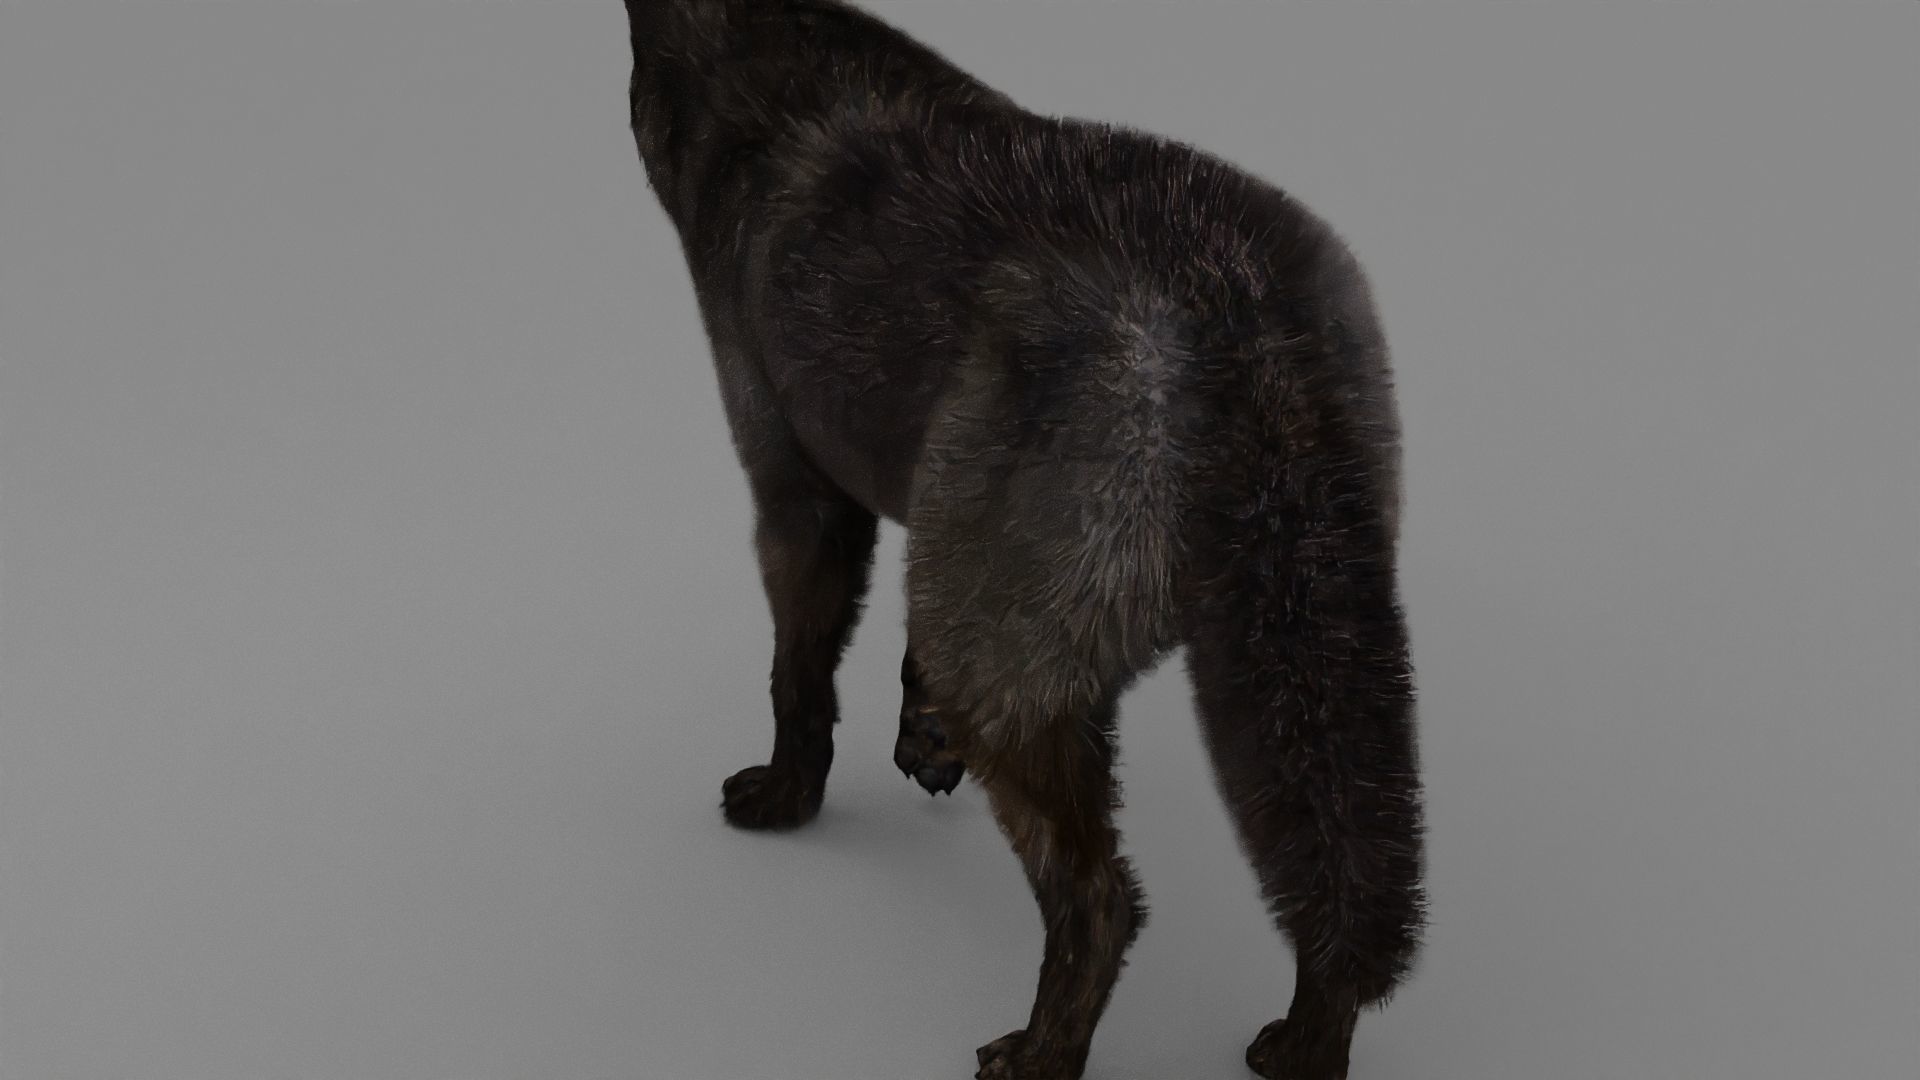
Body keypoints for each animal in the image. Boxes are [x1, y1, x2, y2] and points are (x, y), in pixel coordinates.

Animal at [624, 2, 1425, 1076]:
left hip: (1019, 676)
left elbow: (800, 672)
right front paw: (922, 743)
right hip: (1305, 655)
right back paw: (1303, 1044)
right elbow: (899, 651)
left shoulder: (797, 490)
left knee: (1103, 899)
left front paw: (786, 796)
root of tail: (1235, 316)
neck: (766, 62)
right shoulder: (947, 524)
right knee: (1333, 869)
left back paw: (1039, 1054)